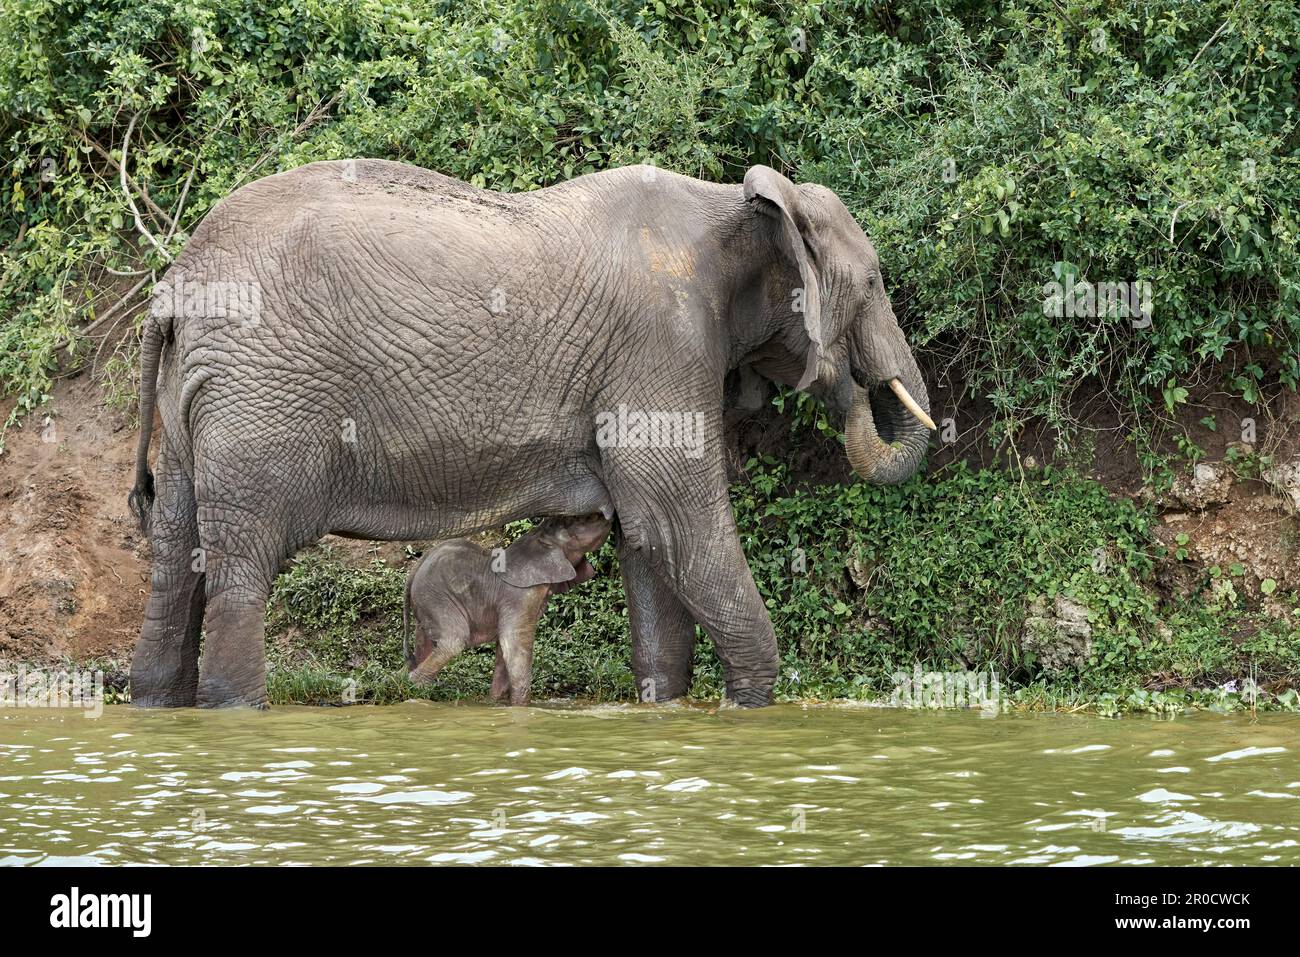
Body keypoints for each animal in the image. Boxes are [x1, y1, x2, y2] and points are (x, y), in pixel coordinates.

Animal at [403, 513, 611, 705]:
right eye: (578, 521)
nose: (606, 517)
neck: (537, 538)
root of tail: (416, 566)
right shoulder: (520, 596)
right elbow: (514, 641)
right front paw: (521, 707)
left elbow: (503, 650)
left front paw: (496, 704)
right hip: (436, 597)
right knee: (453, 641)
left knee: (424, 642)